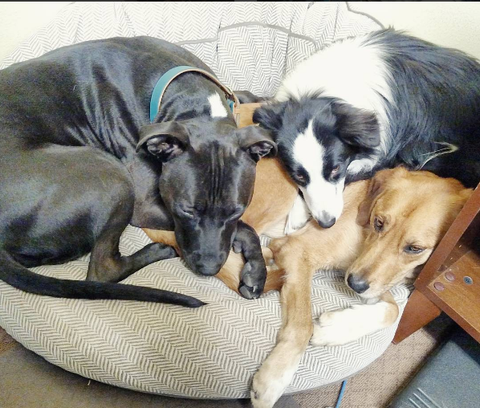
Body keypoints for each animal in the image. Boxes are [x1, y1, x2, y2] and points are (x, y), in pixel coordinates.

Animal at [0, 36, 274, 306]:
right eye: (186, 210)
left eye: (236, 210)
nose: (208, 269)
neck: (191, 96)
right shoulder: (145, 206)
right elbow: (246, 228)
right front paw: (257, 267)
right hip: (112, 176)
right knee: (103, 270)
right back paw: (158, 249)